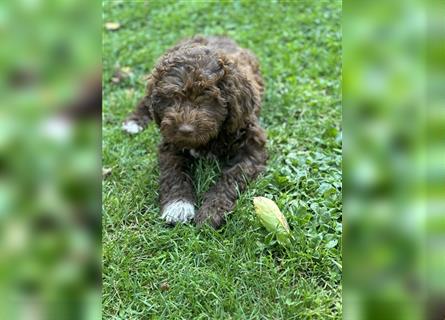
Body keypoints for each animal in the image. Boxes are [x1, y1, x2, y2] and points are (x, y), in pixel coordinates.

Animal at [121, 36, 266, 229]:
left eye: (206, 98)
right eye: (172, 98)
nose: (185, 130)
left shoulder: (251, 145)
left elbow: (232, 176)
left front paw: (211, 211)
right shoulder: (170, 143)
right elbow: (174, 172)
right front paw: (177, 206)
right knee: (146, 100)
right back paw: (134, 122)